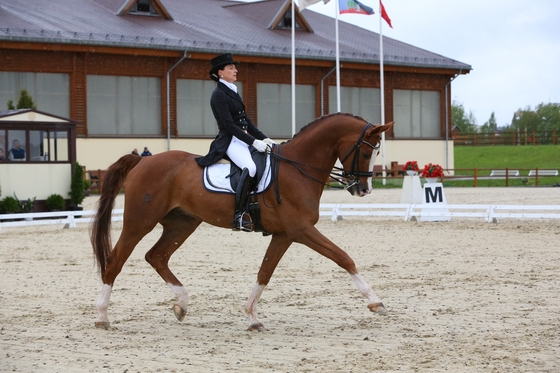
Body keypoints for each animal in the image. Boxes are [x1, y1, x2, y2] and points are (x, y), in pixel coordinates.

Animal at [92, 112, 392, 328]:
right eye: (367, 152)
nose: (363, 190)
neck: (298, 168)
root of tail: (142, 161)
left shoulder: (285, 235)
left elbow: (264, 272)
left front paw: (252, 317)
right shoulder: (301, 230)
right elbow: (343, 257)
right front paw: (375, 302)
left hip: (182, 224)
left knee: (156, 256)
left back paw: (181, 304)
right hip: (139, 222)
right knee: (116, 261)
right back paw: (103, 317)